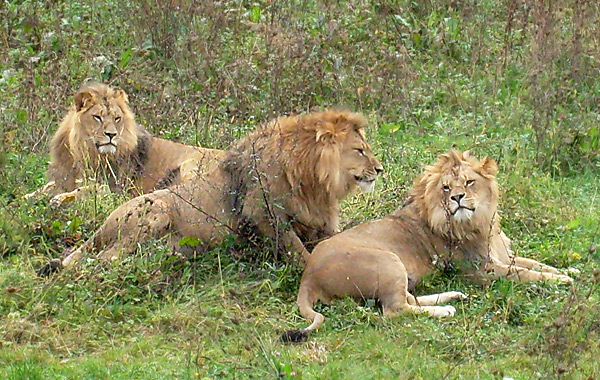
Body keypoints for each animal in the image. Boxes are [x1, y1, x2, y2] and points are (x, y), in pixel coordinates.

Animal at [25, 83, 221, 205]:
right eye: (97, 117)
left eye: (117, 118)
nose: (111, 135)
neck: (82, 152)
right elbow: (44, 188)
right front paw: (28, 196)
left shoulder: (114, 186)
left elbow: (90, 188)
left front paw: (60, 199)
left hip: (191, 166)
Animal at [43, 110, 384, 274]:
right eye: (360, 150)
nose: (380, 169)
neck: (314, 179)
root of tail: (103, 225)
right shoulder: (262, 213)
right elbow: (298, 251)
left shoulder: (317, 219)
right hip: (154, 210)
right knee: (103, 260)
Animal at [284, 149, 576, 342]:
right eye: (446, 188)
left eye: (469, 181)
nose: (457, 198)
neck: (481, 223)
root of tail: (307, 276)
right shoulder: (481, 270)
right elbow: (525, 273)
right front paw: (562, 281)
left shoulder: (504, 256)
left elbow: (535, 263)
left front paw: (569, 271)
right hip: (388, 260)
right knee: (395, 310)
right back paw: (445, 310)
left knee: (408, 298)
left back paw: (453, 297)